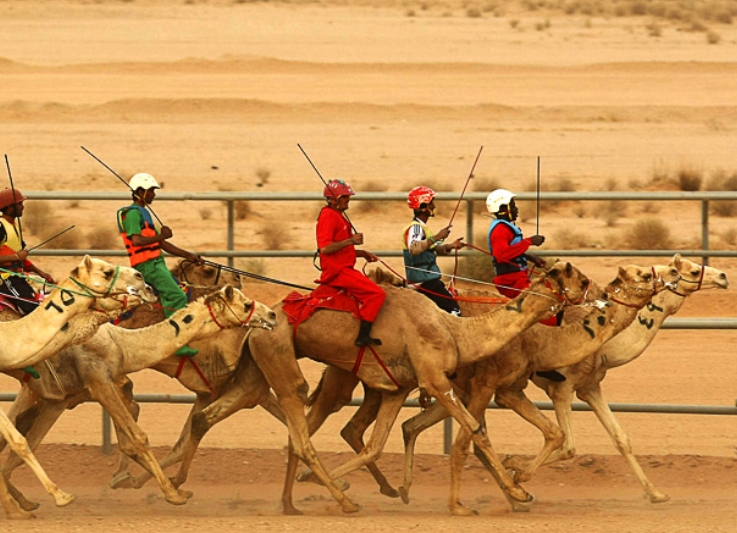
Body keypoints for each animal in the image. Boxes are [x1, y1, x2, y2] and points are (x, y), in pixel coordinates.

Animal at [0, 284, 276, 516]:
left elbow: (28, 443)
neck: (120, 345)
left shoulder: (60, 398)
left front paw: (24, 502)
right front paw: (173, 494)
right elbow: (138, 437)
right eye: (246, 304)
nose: (272, 314)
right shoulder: (98, 381)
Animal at [157, 260, 592, 512]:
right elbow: (476, 431)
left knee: (217, 416)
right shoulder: (436, 379)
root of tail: (260, 320)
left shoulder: (399, 388)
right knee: (300, 426)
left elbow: (377, 444)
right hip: (281, 356)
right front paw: (519, 492)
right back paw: (341, 498)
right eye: (571, 274)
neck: (456, 330)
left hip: (257, 368)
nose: (591, 286)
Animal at [288, 262, 680, 516]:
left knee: (363, 428)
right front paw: (493, 493)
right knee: (320, 421)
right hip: (346, 378)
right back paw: (317, 488)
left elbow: (571, 436)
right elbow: (473, 441)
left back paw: (376, 488)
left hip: (380, 385)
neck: (541, 340)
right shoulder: (495, 385)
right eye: (645, 274)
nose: (602, 293)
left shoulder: (512, 388)